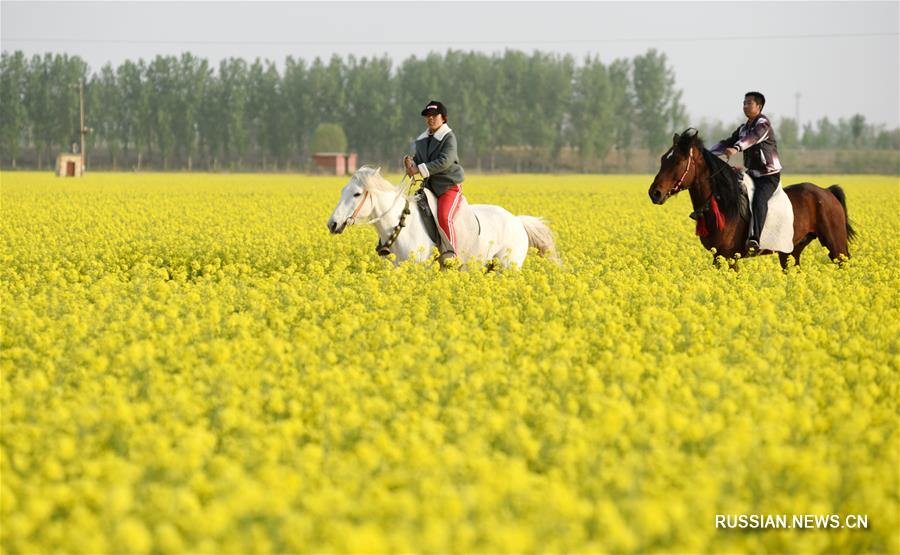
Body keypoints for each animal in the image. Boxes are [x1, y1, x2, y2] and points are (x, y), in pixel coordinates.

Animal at [326, 165, 560, 270]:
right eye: (343, 191)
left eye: (357, 194)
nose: (332, 224)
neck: (400, 227)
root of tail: (517, 221)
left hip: (508, 266)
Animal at [652, 130, 856, 270]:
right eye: (662, 159)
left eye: (677, 161)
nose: (654, 193)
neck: (722, 202)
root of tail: (827, 192)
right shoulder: (717, 257)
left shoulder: (729, 257)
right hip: (791, 251)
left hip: (836, 246)